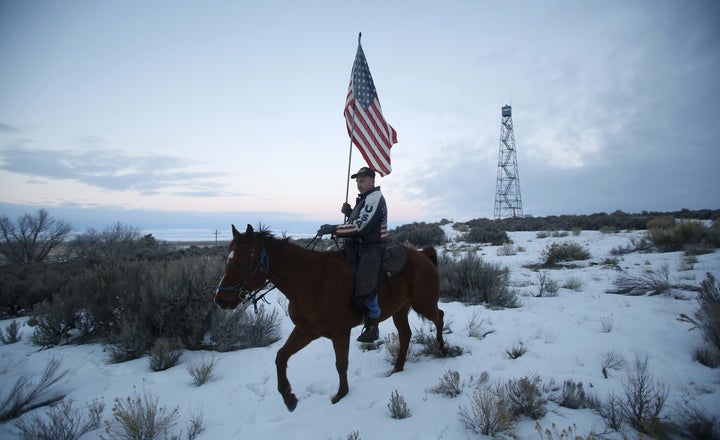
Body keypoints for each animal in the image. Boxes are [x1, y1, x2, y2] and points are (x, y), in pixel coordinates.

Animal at [214, 225, 442, 410]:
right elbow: (281, 357)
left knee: (438, 317)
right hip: (400, 310)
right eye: (227, 259)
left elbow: (341, 363)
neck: (309, 280)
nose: (220, 300)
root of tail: (423, 254)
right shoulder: (306, 332)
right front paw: (289, 398)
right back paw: (398, 368)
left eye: (242, 261)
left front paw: (341, 395)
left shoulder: (339, 332)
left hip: (423, 303)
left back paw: (441, 349)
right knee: (406, 334)